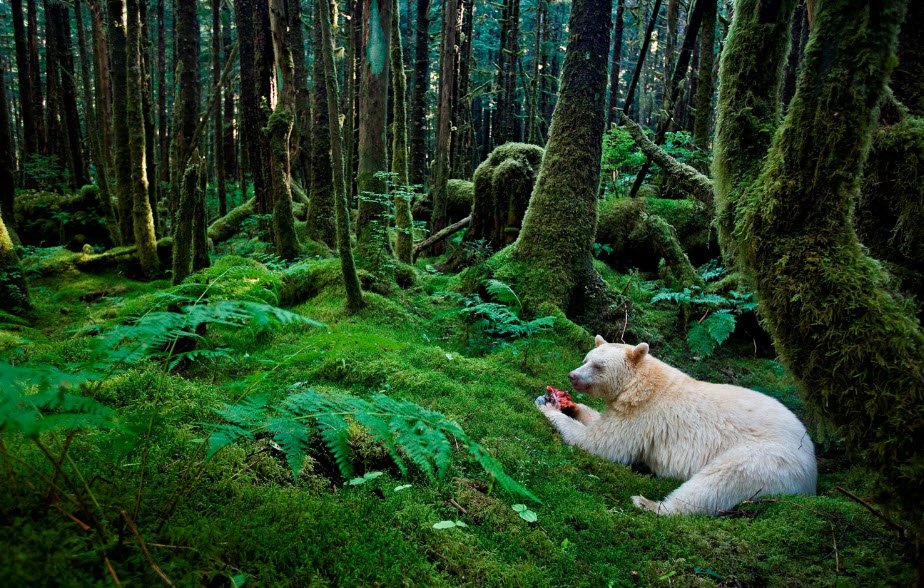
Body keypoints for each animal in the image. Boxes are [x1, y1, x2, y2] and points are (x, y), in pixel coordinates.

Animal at [536, 336, 817, 515]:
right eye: (586, 358)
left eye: (598, 365)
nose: (572, 375)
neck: (640, 383)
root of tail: (812, 468)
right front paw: (568, 405)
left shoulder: (643, 415)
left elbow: (605, 444)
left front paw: (548, 407)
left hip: (768, 459)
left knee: (720, 481)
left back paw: (649, 504)